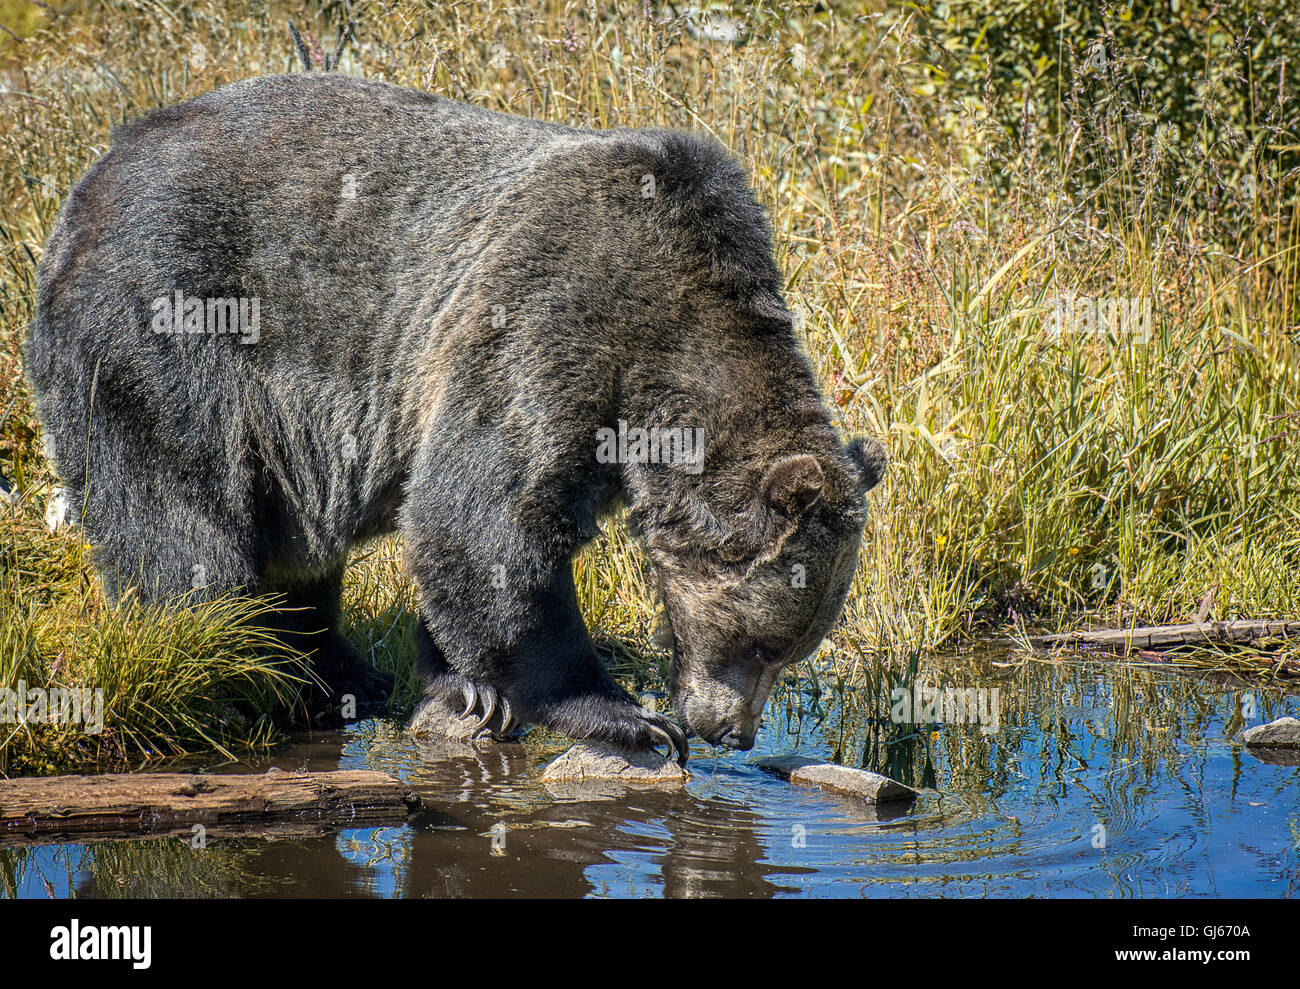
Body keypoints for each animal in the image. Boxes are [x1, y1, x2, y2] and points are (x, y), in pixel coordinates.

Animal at [25, 72, 885, 761]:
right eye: (766, 641)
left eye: (798, 647)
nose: (731, 731)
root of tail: (89, 179)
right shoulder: (551, 319)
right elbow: (485, 517)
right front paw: (623, 715)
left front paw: (463, 684)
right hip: (170, 325)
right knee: (182, 514)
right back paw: (235, 665)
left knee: (291, 540)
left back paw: (340, 671)